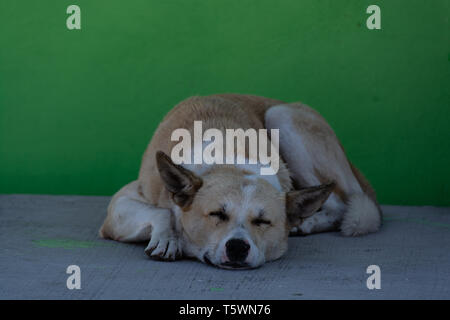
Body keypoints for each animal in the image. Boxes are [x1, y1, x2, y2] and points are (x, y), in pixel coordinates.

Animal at [98, 94, 380, 268]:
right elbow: (162, 212)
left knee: (342, 205)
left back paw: (306, 223)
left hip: (283, 118)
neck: (229, 156)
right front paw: (168, 239)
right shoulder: (121, 201)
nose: (237, 248)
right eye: (216, 214)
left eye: (263, 221)